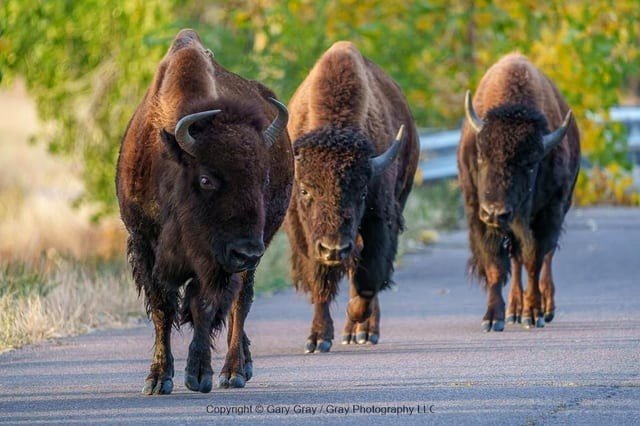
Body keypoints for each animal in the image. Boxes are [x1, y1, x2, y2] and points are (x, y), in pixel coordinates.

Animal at [116, 29, 293, 394]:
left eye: (264, 178)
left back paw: (234, 371)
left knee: (241, 303)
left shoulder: (216, 259)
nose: (246, 251)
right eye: (206, 178)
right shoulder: (144, 246)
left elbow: (204, 306)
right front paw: (158, 379)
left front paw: (199, 374)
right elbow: (162, 308)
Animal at [285, 41, 419, 353]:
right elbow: (320, 281)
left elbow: (369, 279)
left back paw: (363, 332)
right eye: (305, 190)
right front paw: (317, 339)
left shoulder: (380, 220)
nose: (334, 249)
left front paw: (356, 318)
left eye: (362, 191)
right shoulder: (304, 235)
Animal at [457, 53, 580, 332]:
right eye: (481, 157)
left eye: (531, 164)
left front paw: (533, 313)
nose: (495, 212)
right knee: (515, 258)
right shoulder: (478, 214)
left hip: (560, 207)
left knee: (544, 256)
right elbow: (496, 265)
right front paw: (493, 318)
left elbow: (534, 260)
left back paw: (545, 308)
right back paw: (513, 309)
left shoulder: (548, 213)